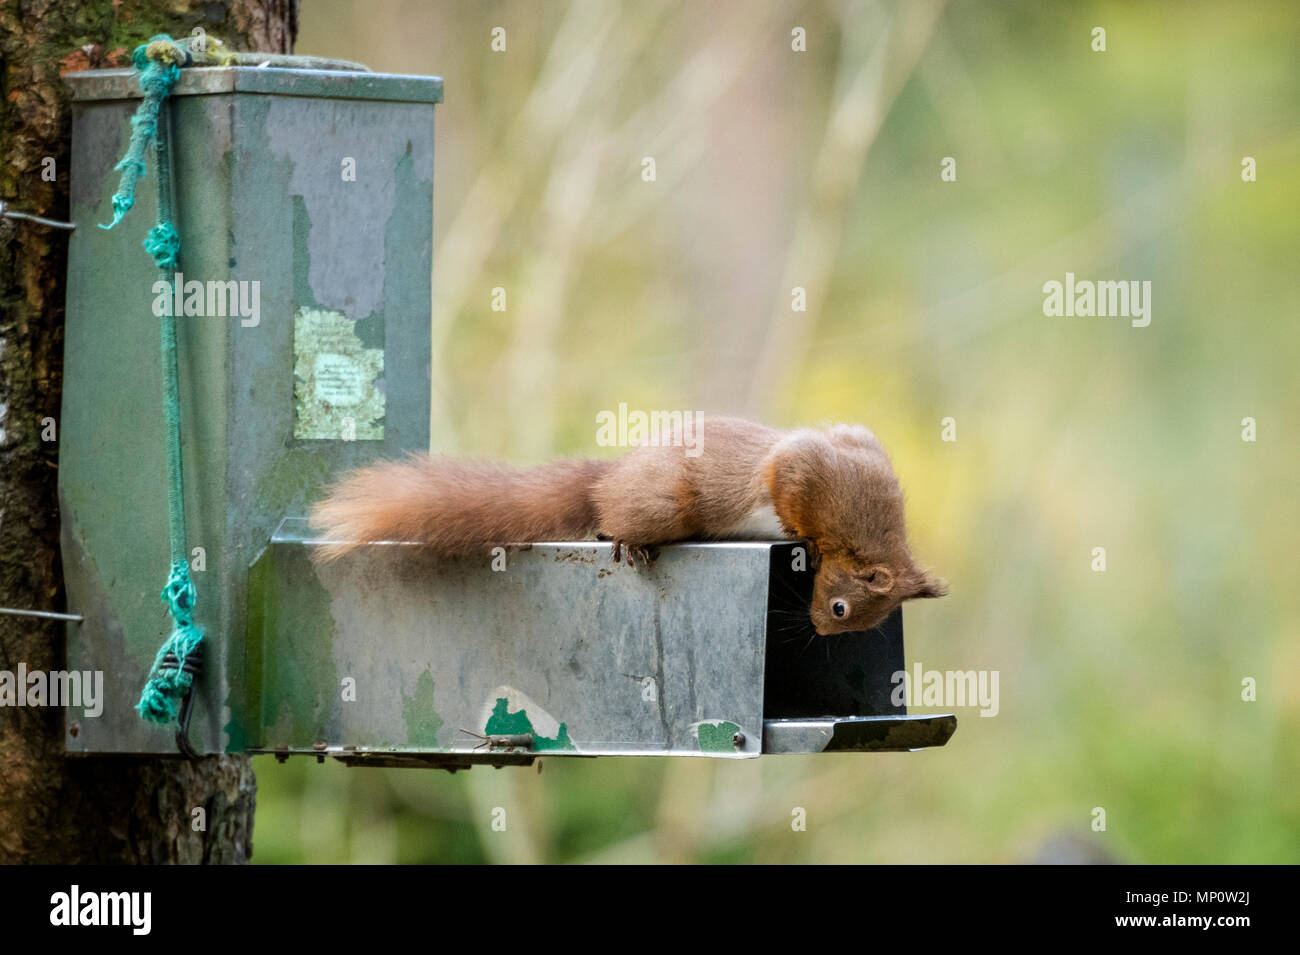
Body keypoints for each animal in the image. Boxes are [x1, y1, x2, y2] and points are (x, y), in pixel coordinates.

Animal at [310, 415, 951, 634]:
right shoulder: (813, 473)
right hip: (665, 504)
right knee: (618, 516)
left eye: (865, 626)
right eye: (840, 609)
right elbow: (785, 478)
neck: (867, 533)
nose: (818, 629)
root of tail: (614, 475)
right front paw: (807, 544)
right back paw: (621, 536)